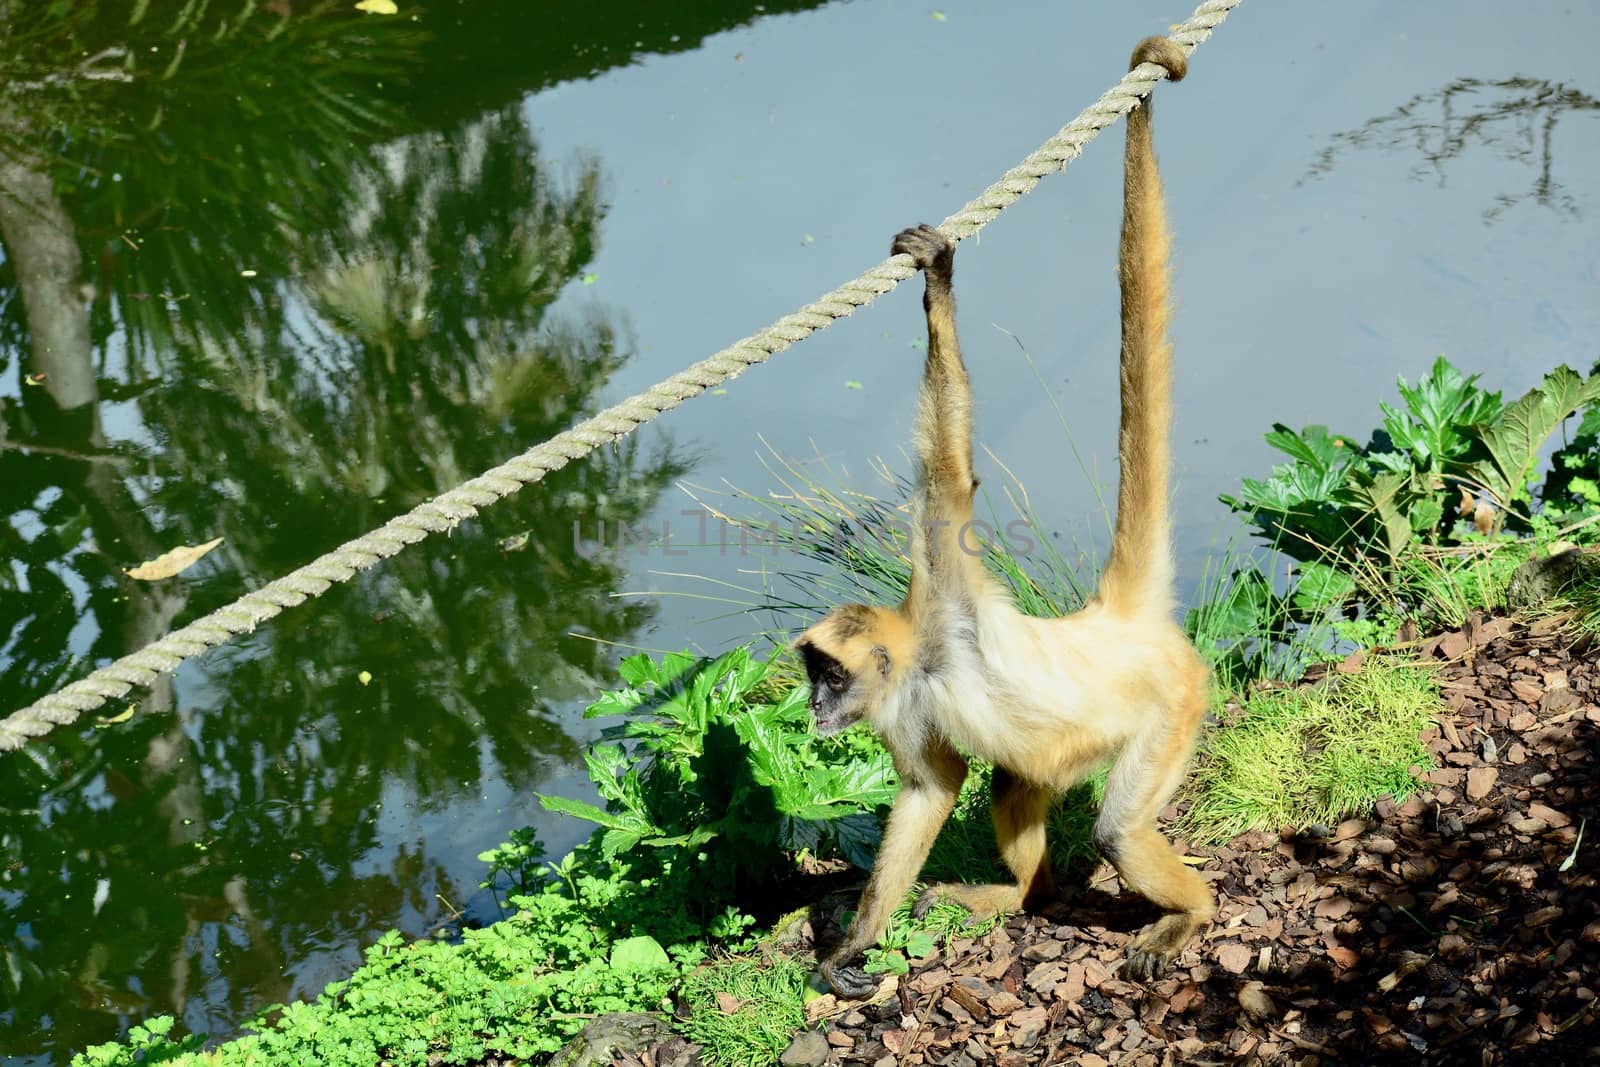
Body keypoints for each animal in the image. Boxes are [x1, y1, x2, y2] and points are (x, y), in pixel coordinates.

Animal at [793, 35, 1203, 1004]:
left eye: (827, 676)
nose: (814, 705)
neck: (925, 658)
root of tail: (1116, 623)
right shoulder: (904, 708)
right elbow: (933, 788)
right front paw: (851, 945)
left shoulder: (944, 576)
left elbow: (946, 468)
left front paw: (938, 281)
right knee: (1017, 784)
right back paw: (1029, 895)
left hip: (1171, 708)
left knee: (1117, 830)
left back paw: (1190, 913)